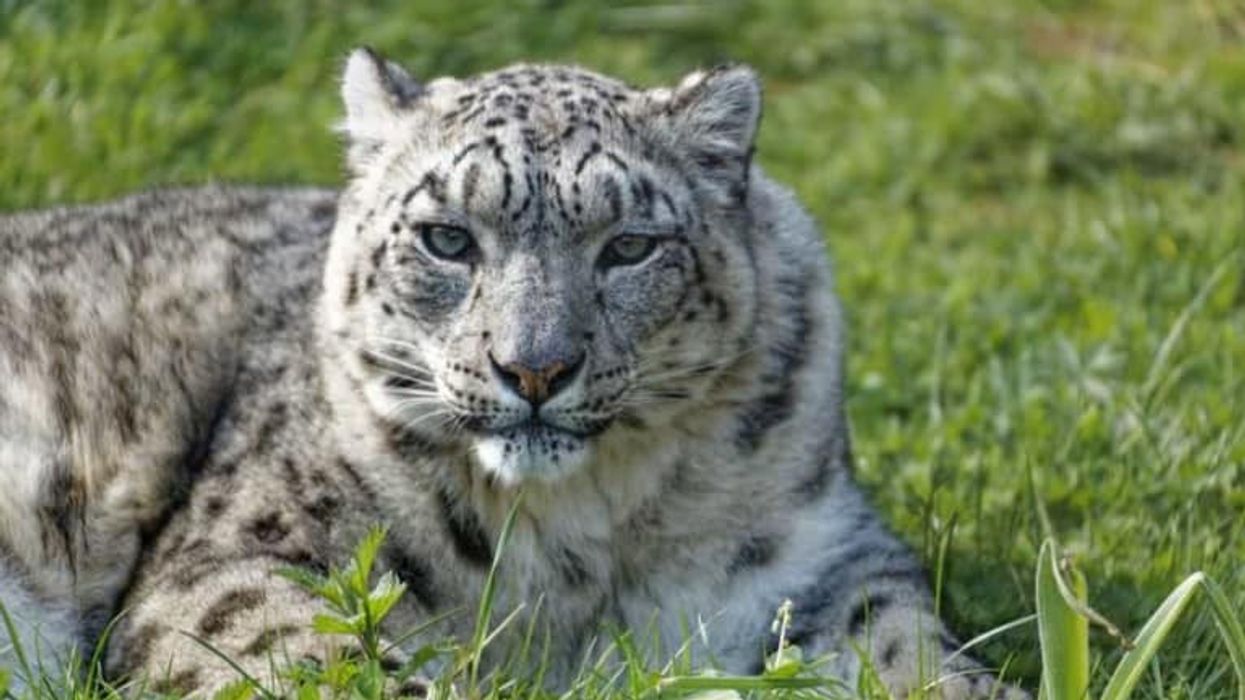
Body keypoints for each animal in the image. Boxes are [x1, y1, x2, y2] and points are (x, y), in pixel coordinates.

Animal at [0, 49, 1028, 698]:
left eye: (629, 246)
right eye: (448, 238)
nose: (534, 369)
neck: (578, 543)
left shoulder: (820, 560)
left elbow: (909, 650)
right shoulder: (242, 557)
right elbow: (319, 658)